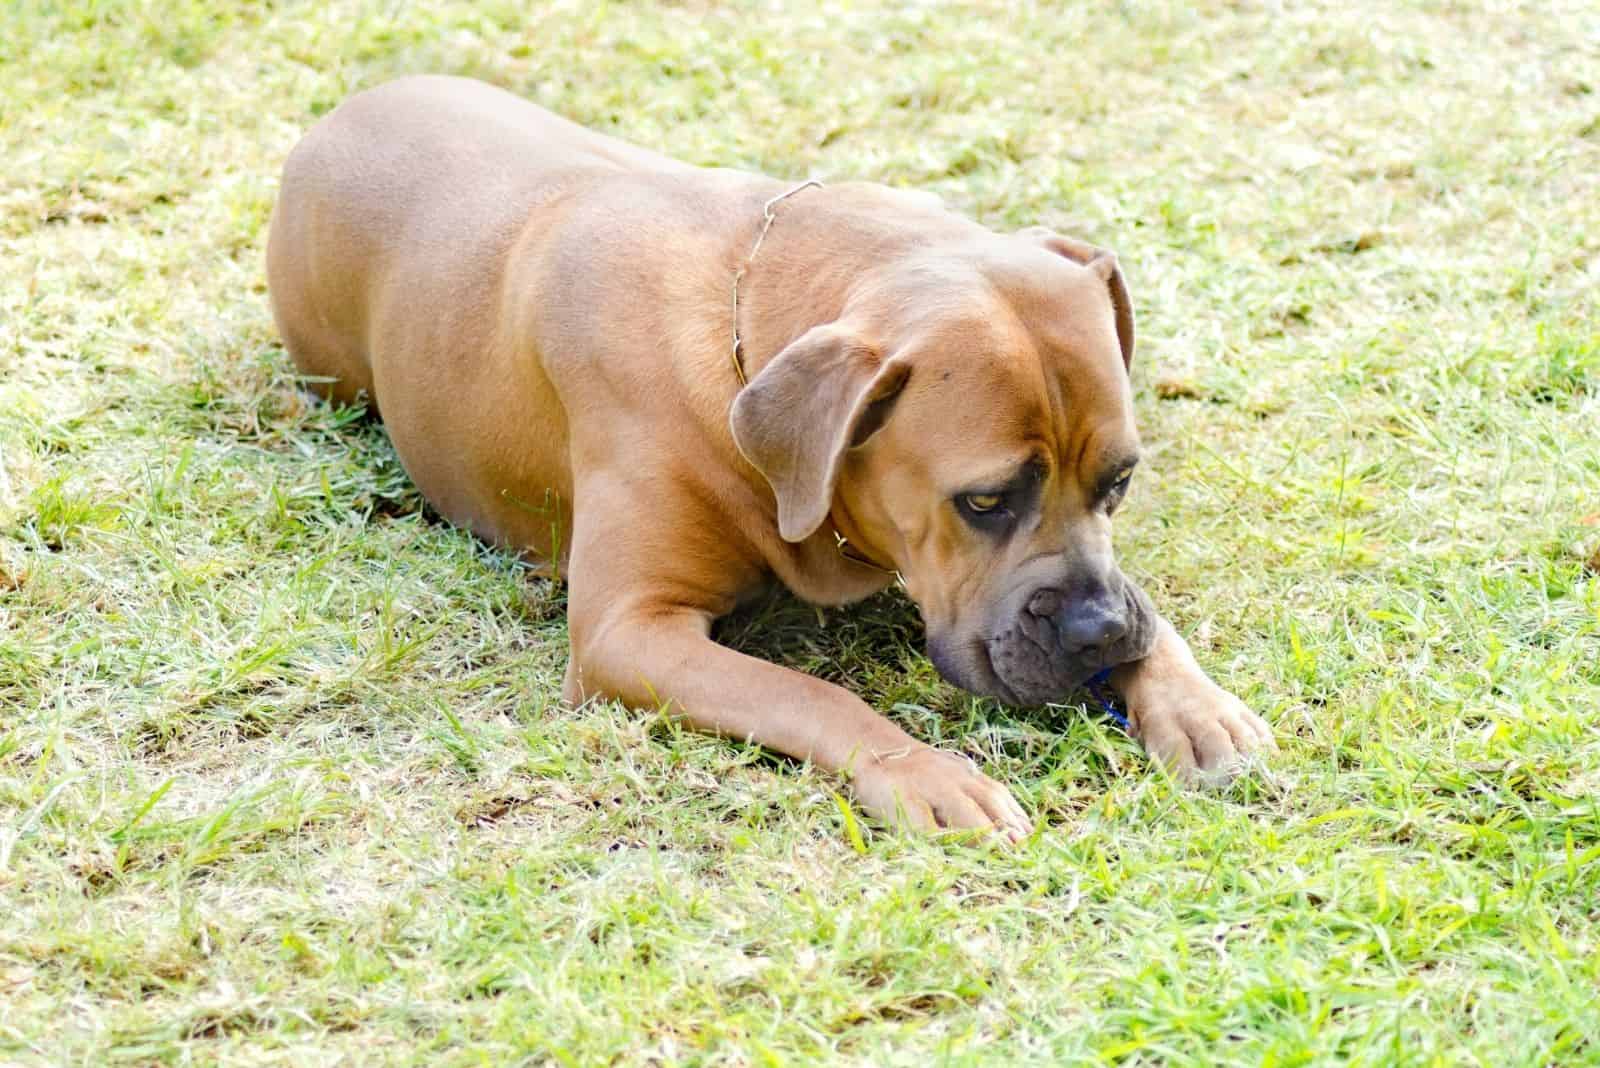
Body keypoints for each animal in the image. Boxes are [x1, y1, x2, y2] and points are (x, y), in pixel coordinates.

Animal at [265, 77, 1273, 844]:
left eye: (1121, 480)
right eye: (983, 503)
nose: (1099, 635)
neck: (744, 317)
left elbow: (1152, 609)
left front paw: (1191, 698)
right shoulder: (630, 631)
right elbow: (809, 694)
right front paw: (925, 770)